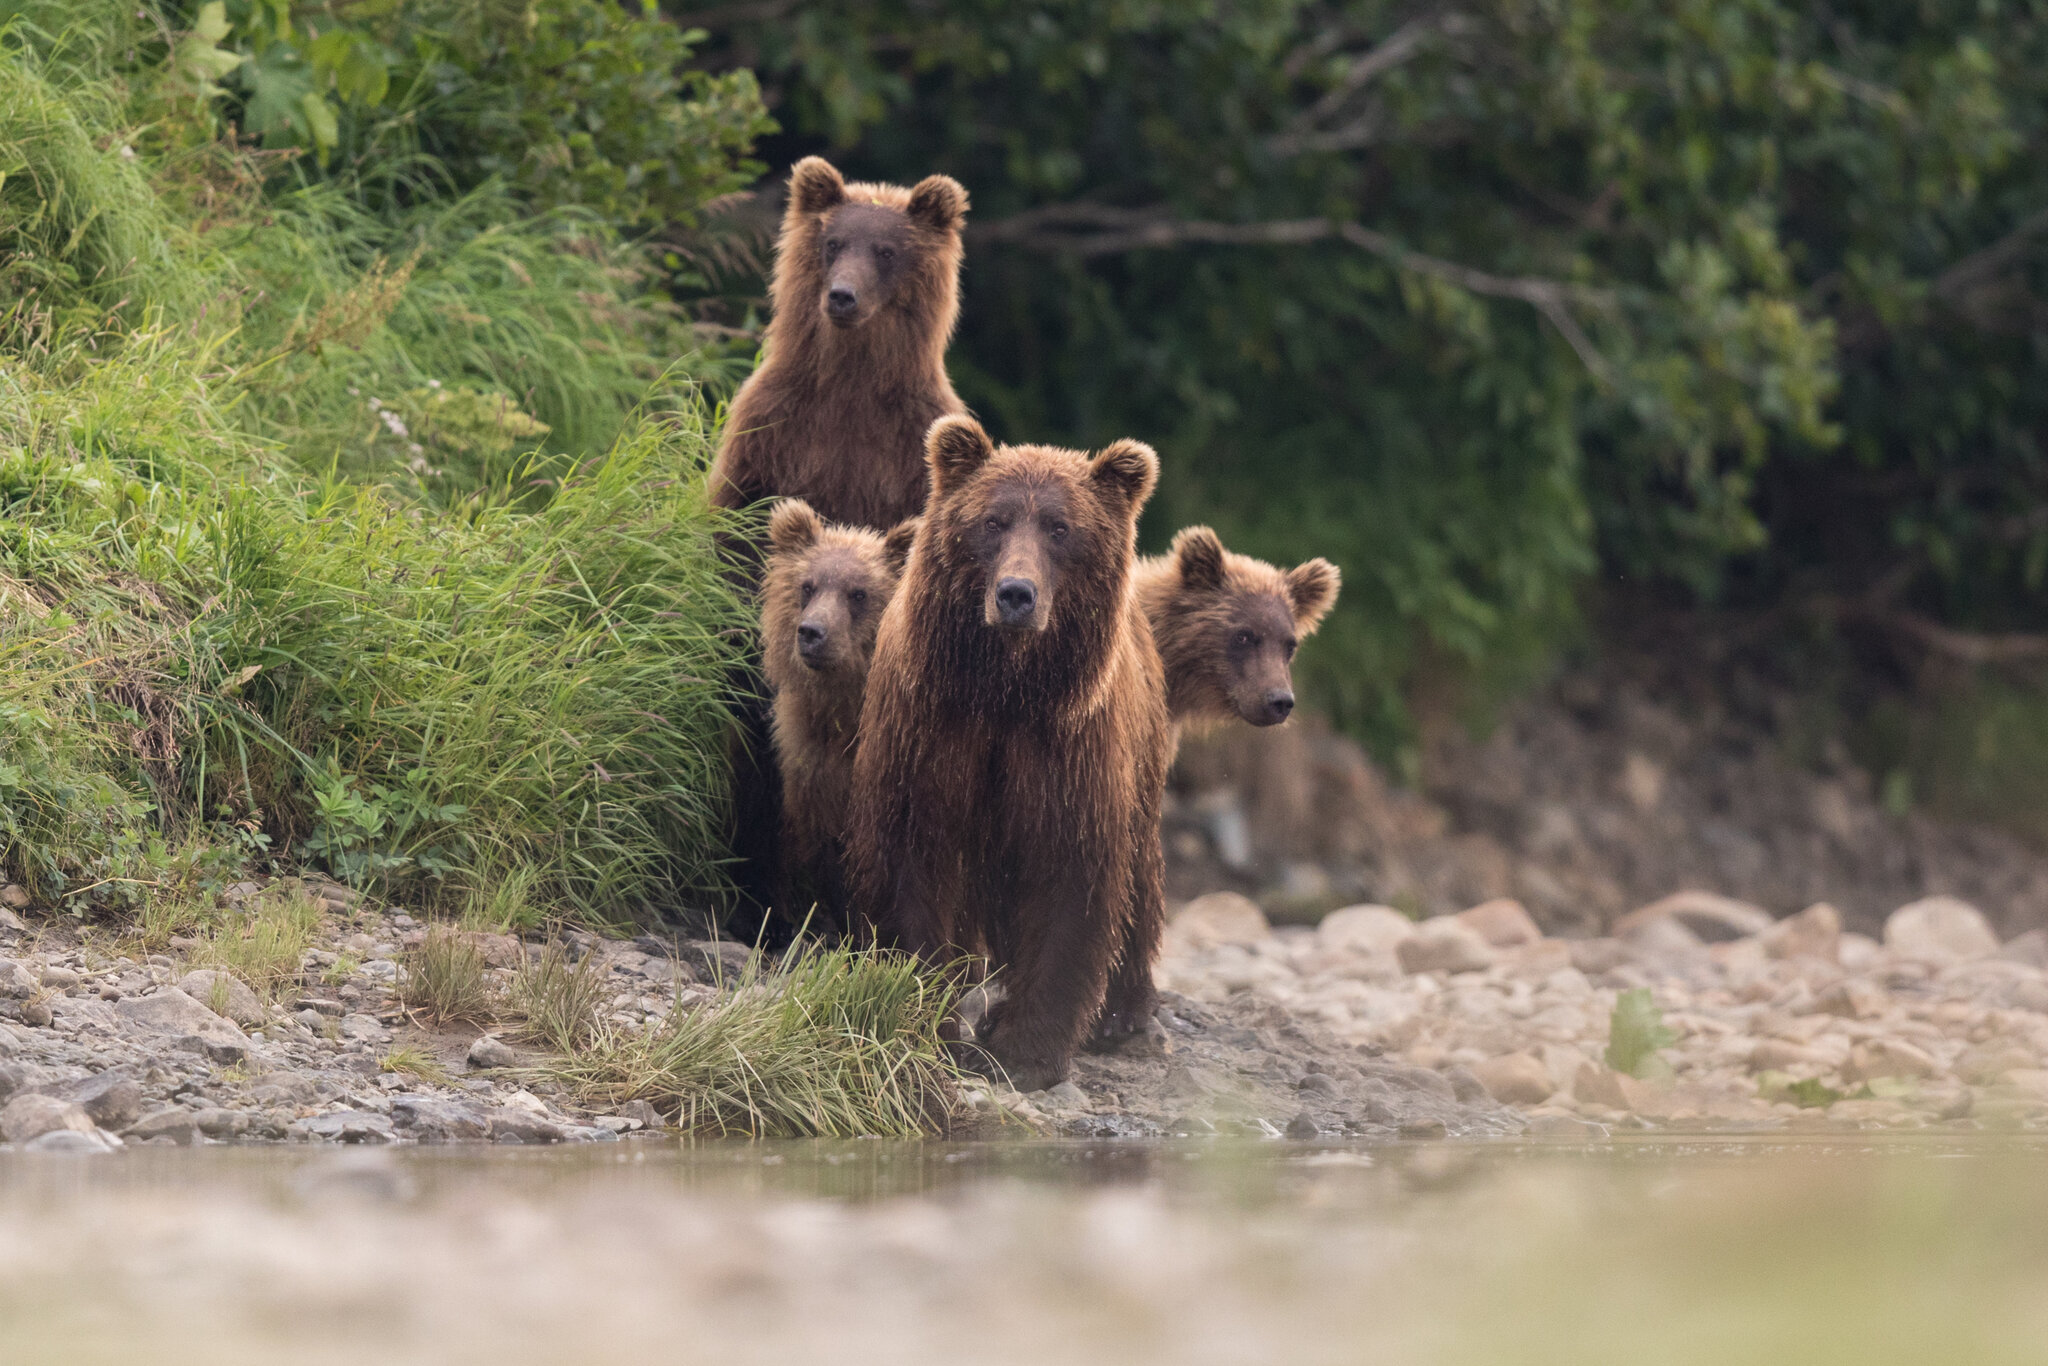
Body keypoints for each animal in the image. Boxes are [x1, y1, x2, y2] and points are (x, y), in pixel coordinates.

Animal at [708, 155, 970, 530]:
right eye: (833, 242)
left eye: (886, 251)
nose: (842, 296)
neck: (850, 376)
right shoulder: (769, 430)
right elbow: (739, 513)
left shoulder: (911, 441)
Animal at [845, 414, 1171, 1092]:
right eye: (992, 521)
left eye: (1061, 527)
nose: (1017, 594)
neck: (1005, 689)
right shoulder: (930, 732)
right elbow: (911, 864)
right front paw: (931, 1021)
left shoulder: (1068, 748)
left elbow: (1071, 878)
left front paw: (1024, 1052)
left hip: (1143, 751)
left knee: (1139, 872)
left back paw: (1124, 1010)